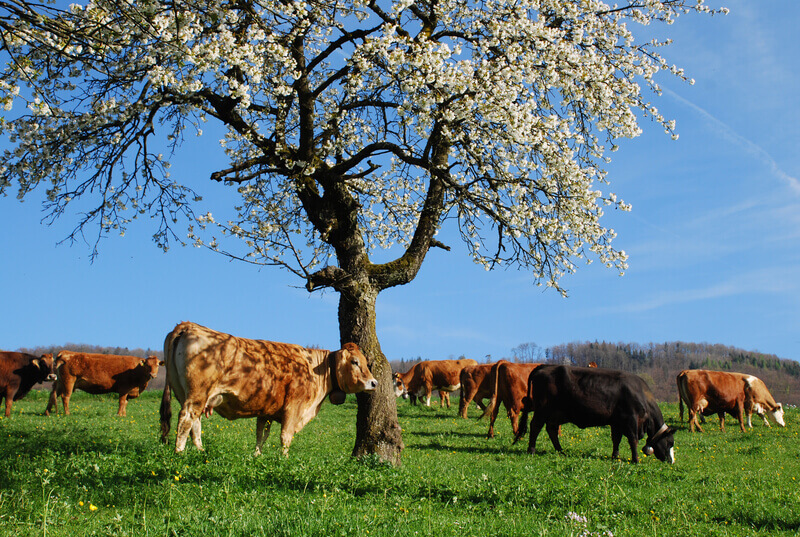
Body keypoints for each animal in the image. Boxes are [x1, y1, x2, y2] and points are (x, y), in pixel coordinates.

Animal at [161, 320, 380, 454]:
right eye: (355, 362)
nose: (374, 383)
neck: (312, 367)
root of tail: (189, 325)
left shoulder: (266, 410)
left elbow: (261, 436)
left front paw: (257, 456)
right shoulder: (293, 407)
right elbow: (285, 437)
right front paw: (284, 460)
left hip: (187, 394)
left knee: (194, 424)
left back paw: (200, 452)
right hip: (197, 395)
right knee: (186, 420)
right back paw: (179, 453)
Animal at [512, 366, 676, 462]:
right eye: (670, 442)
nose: (671, 461)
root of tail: (545, 367)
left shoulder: (616, 422)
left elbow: (616, 439)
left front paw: (615, 456)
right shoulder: (631, 419)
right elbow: (633, 439)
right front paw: (635, 459)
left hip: (555, 414)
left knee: (551, 430)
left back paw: (561, 451)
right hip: (542, 410)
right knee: (535, 427)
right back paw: (531, 450)